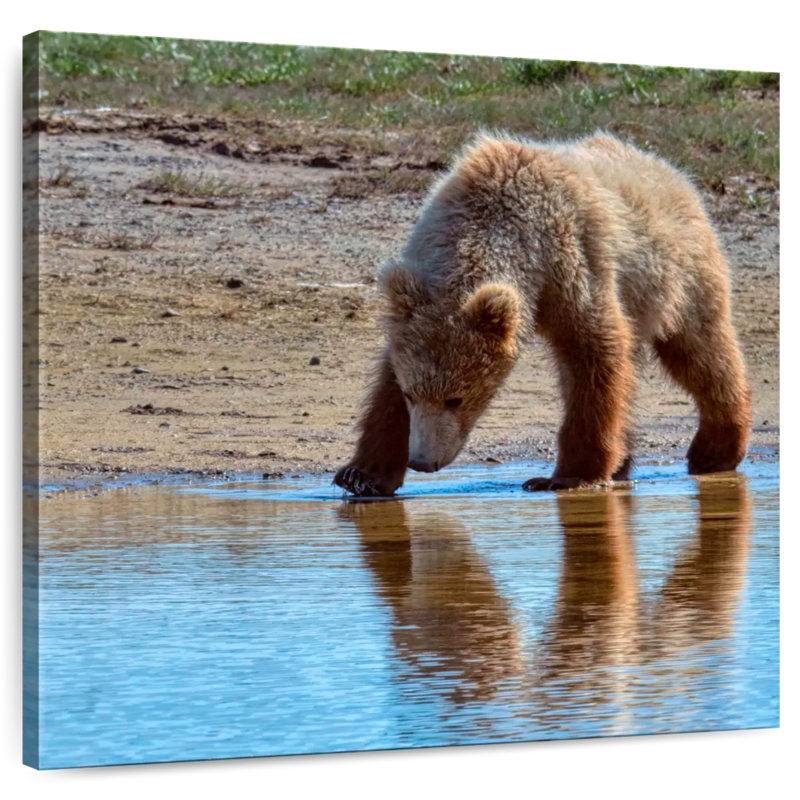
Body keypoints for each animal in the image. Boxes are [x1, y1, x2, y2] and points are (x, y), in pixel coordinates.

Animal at [333, 131, 752, 497]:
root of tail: (672, 171)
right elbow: (386, 383)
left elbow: (593, 354)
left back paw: (714, 450)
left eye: (457, 398)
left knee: (700, 352)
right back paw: (626, 461)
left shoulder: (569, 264)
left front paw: (569, 475)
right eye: (412, 394)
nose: (423, 461)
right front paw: (361, 475)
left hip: (677, 277)